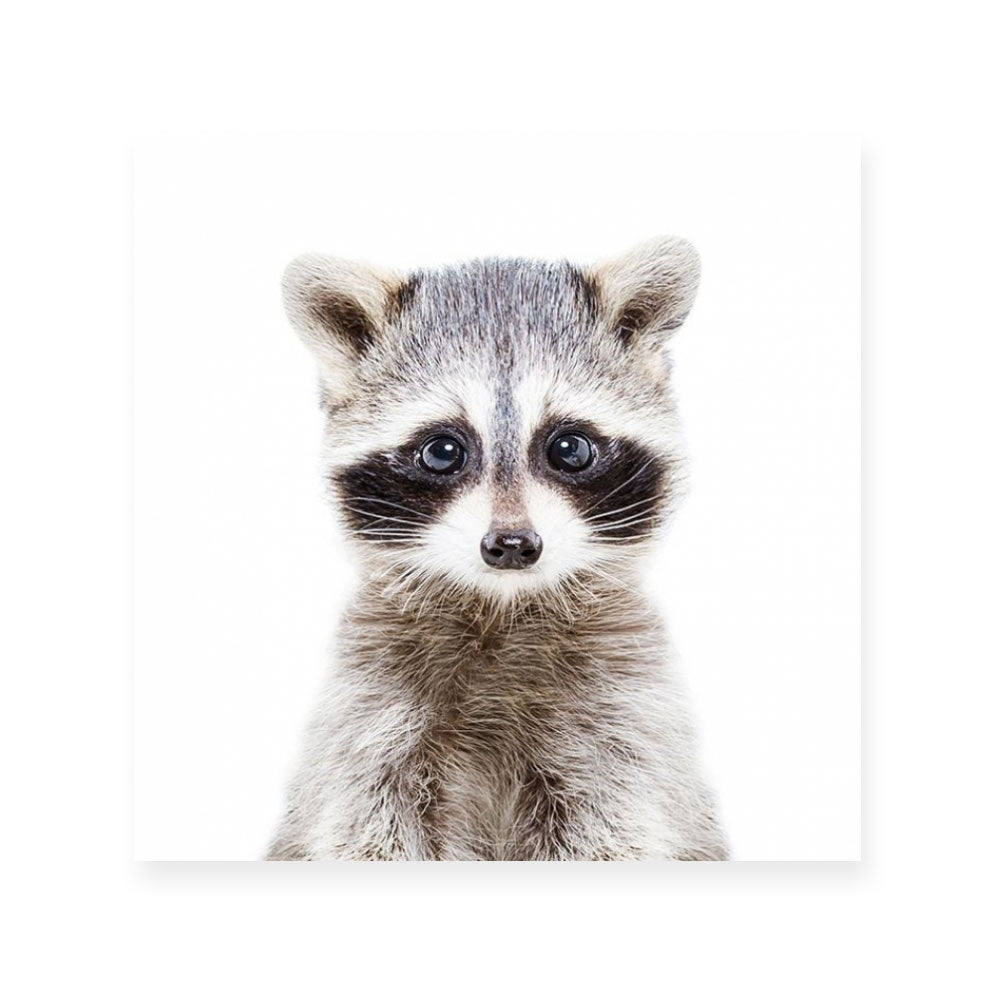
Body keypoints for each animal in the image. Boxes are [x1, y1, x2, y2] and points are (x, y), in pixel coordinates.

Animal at [266, 237, 728, 861]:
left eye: (569, 448)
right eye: (442, 451)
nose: (511, 545)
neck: (501, 607)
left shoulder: (625, 719)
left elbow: (615, 827)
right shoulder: (369, 715)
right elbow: (366, 825)